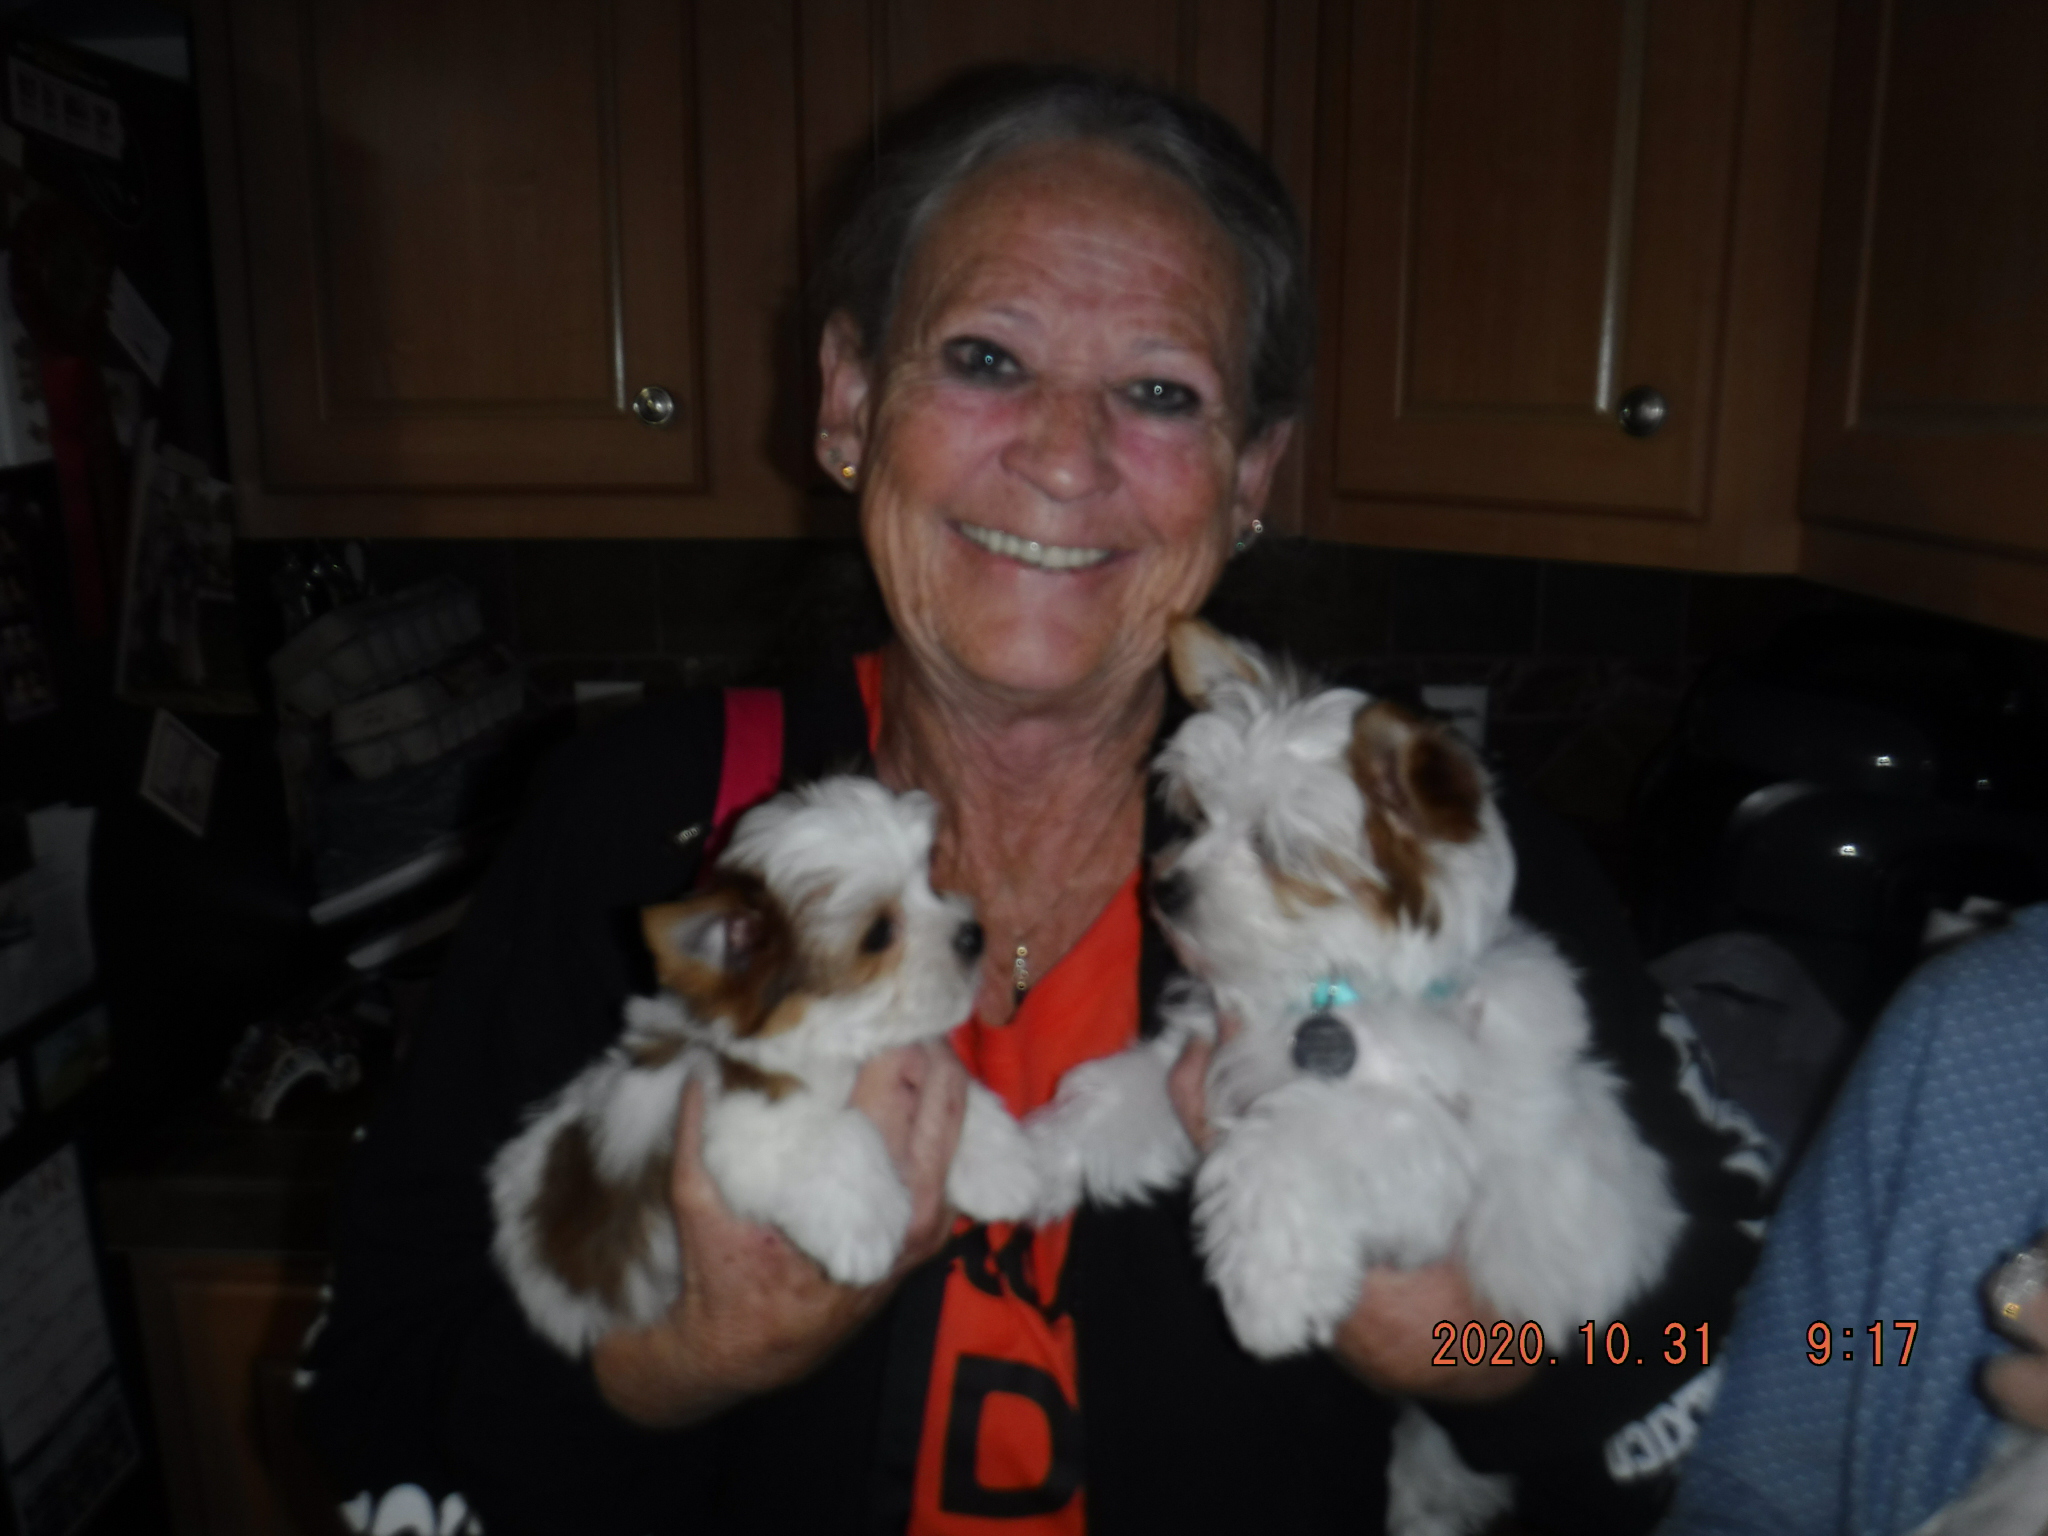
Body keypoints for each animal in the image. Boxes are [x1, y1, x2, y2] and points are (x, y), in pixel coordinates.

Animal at [489, 776, 1038, 1357]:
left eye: (928, 880)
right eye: (879, 933)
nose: (973, 934)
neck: (831, 1038)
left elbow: (958, 1091)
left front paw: (1004, 1166)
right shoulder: (741, 1123)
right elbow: (829, 1132)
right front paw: (867, 1224)